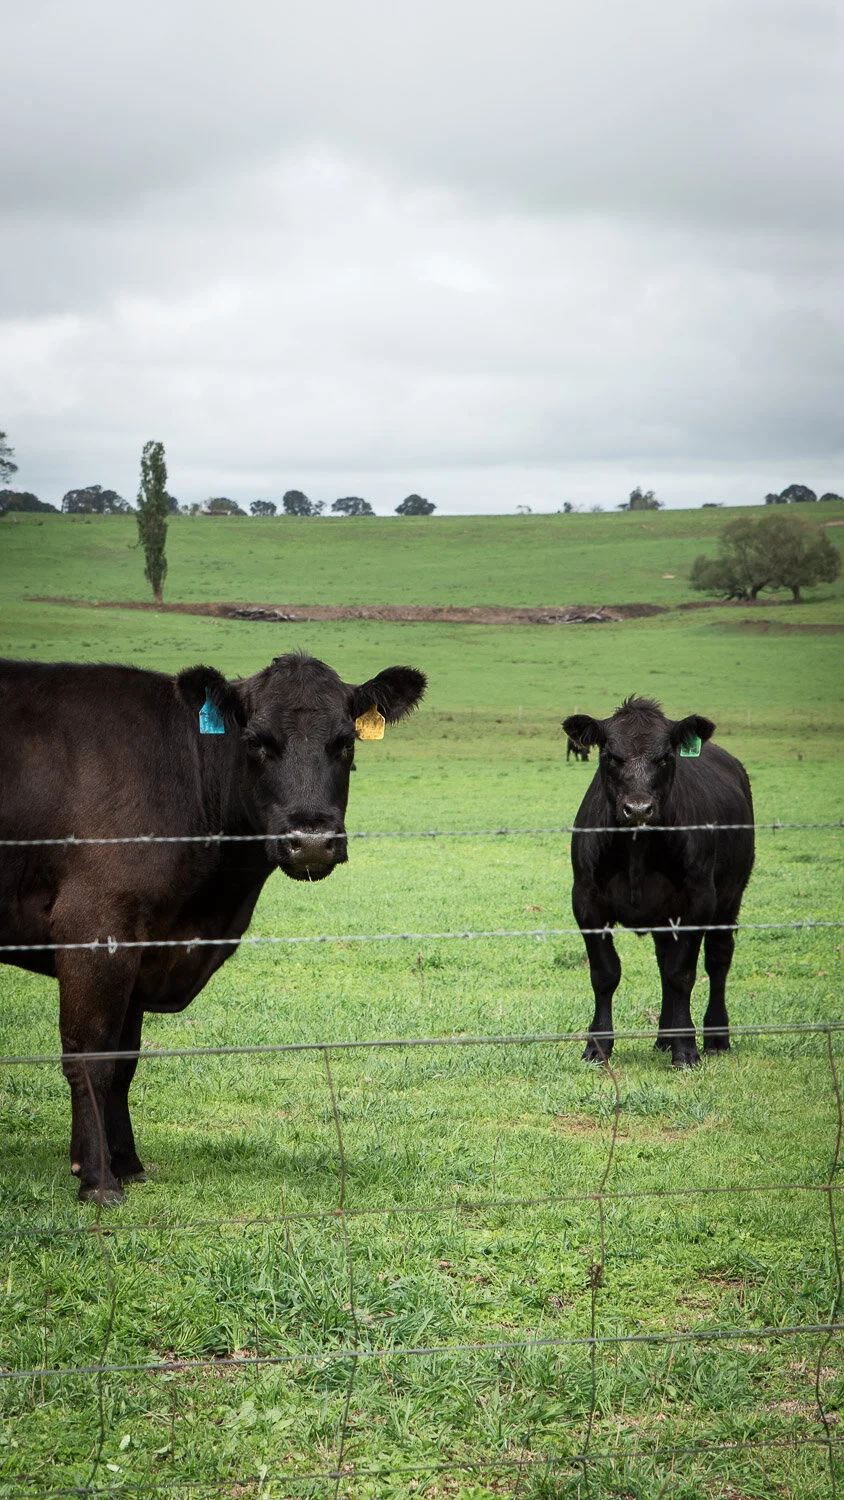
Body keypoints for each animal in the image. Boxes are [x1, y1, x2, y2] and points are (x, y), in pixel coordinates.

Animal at [0, 653, 426, 1202]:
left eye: (345, 741)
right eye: (256, 742)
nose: (311, 841)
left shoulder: (142, 945)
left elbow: (124, 1062)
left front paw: (127, 1163)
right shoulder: (95, 925)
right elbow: (92, 1056)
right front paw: (98, 1180)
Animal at [561, 697, 754, 1068]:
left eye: (665, 757)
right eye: (611, 756)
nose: (638, 809)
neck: (637, 852)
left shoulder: (698, 902)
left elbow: (682, 974)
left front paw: (686, 1049)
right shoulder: (587, 902)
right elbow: (605, 974)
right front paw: (597, 1046)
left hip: (729, 898)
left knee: (718, 960)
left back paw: (715, 1036)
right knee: (664, 961)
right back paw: (664, 1038)